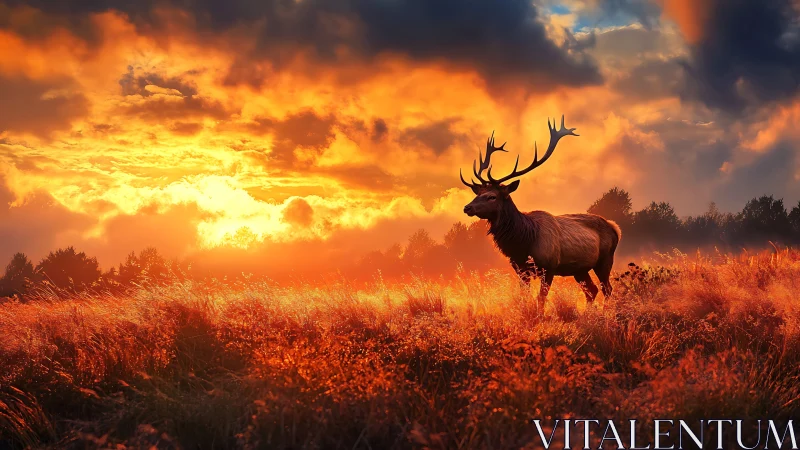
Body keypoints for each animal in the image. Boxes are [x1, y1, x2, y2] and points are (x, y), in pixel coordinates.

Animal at [460, 116, 621, 309]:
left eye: (492, 196)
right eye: (478, 194)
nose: (467, 207)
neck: (524, 242)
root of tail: (615, 227)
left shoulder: (549, 266)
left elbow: (541, 299)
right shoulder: (520, 269)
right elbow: (524, 297)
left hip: (605, 260)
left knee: (607, 288)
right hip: (579, 269)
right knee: (592, 290)